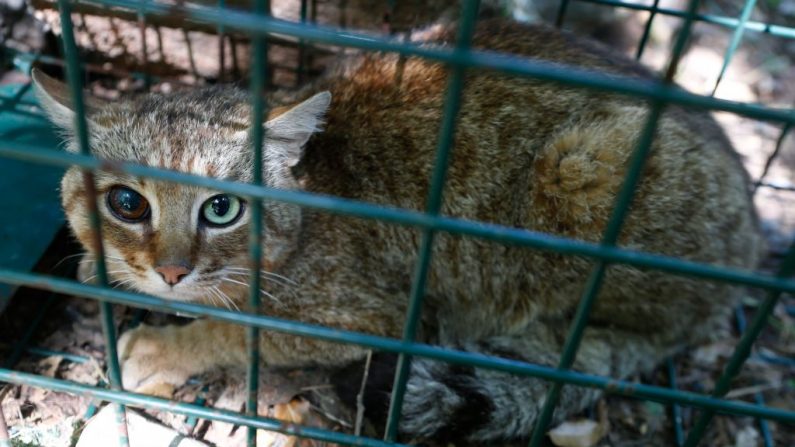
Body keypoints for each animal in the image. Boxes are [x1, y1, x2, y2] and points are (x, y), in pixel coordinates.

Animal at [34, 19, 760, 446]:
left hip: (583, 167)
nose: (172, 270)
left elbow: (239, 330)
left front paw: (168, 344)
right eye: (127, 203)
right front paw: (104, 267)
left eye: (220, 210)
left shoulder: (364, 315)